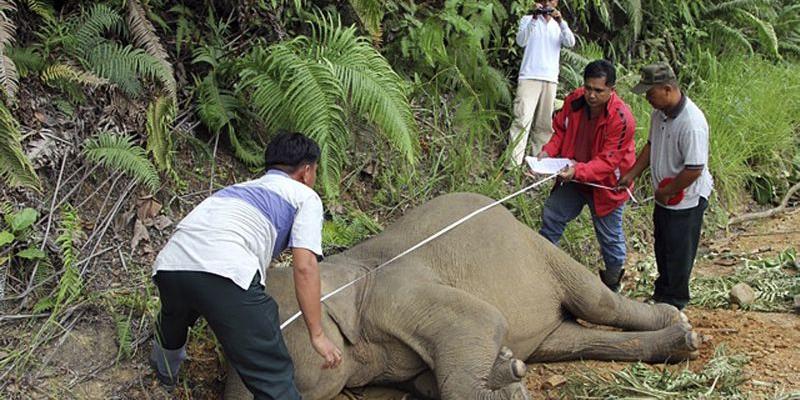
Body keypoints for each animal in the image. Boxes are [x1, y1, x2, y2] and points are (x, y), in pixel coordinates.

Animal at [223, 192, 700, 398]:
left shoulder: (399, 292)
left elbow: (482, 319)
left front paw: (508, 378)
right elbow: (427, 382)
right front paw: (508, 371)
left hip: (540, 249)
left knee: (597, 302)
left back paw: (680, 325)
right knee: (572, 340)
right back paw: (677, 343)